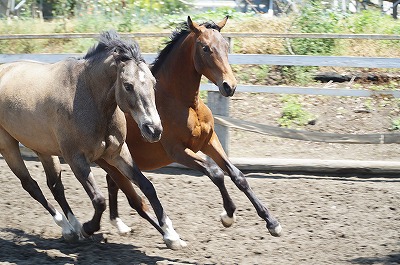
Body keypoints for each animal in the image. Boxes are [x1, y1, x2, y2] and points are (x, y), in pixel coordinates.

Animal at [0, 29, 186, 249]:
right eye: (128, 85)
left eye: (153, 83)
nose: (153, 129)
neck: (87, 97)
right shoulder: (76, 159)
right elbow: (99, 200)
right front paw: (88, 228)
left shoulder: (117, 153)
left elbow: (147, 187)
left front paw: (172, 235)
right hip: (8, 146)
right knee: (31, 185)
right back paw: (68, 228)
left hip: (43, 149)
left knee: (55, 186)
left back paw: (71, 229)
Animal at [104, 16, 282, 239]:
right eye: (205, 48)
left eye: (225, 46)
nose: (229, 86)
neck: (184, 103)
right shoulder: (178, 152)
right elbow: (216, 173)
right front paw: (228, 214)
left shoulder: (209, 141)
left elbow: (237, 176)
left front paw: (272, 222)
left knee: (114, 185)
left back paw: (119, 224)